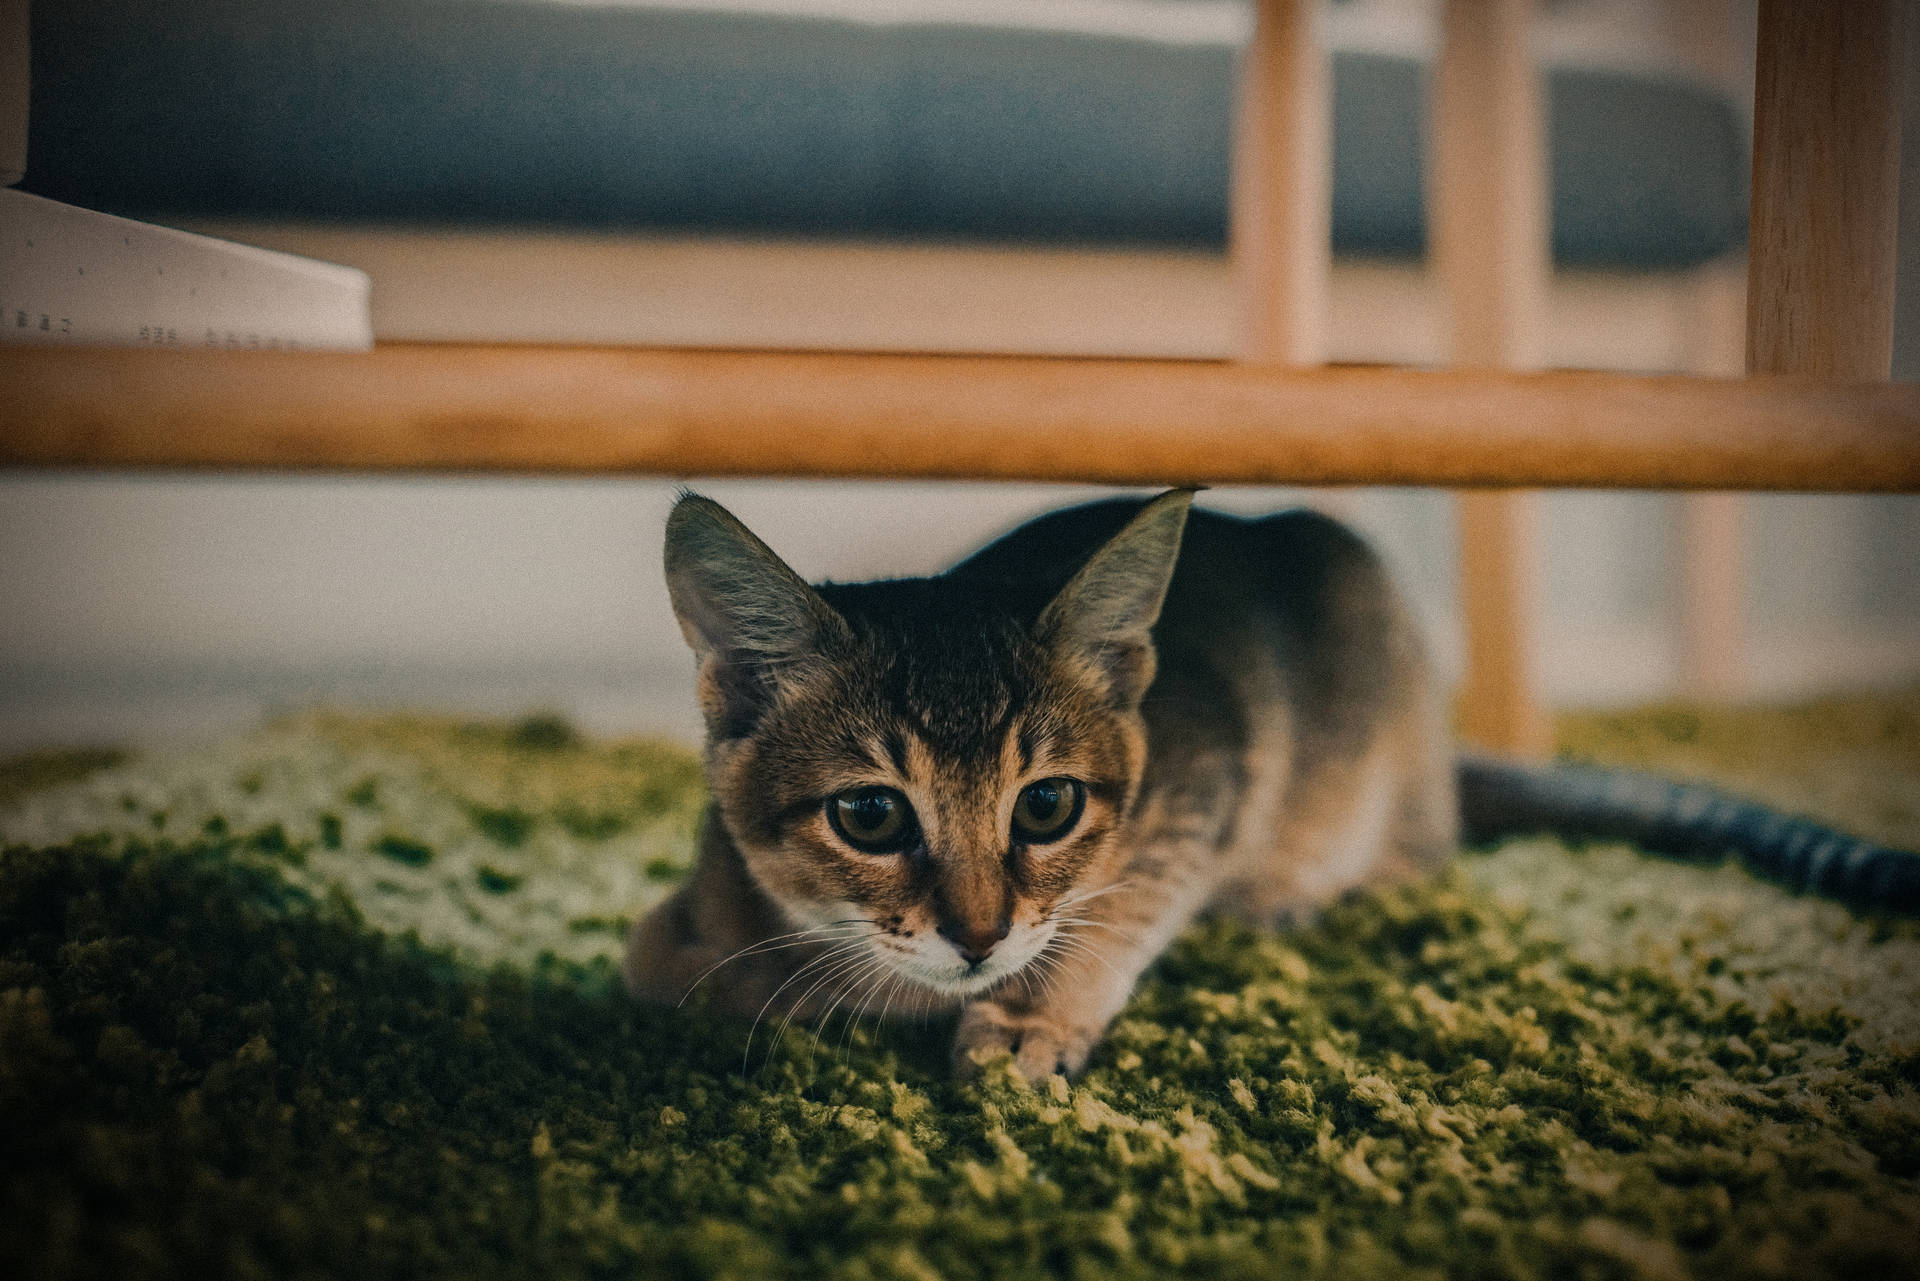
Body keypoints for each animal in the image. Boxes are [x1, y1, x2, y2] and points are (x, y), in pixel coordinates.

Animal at [629, 491, 1920, 1083]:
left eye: (1047, 806)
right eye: (869, 815)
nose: (980, 936)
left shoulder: (1204, 780)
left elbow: (1118, 911)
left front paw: (1033, 1015)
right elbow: (668, 962)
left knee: (1421, 850)